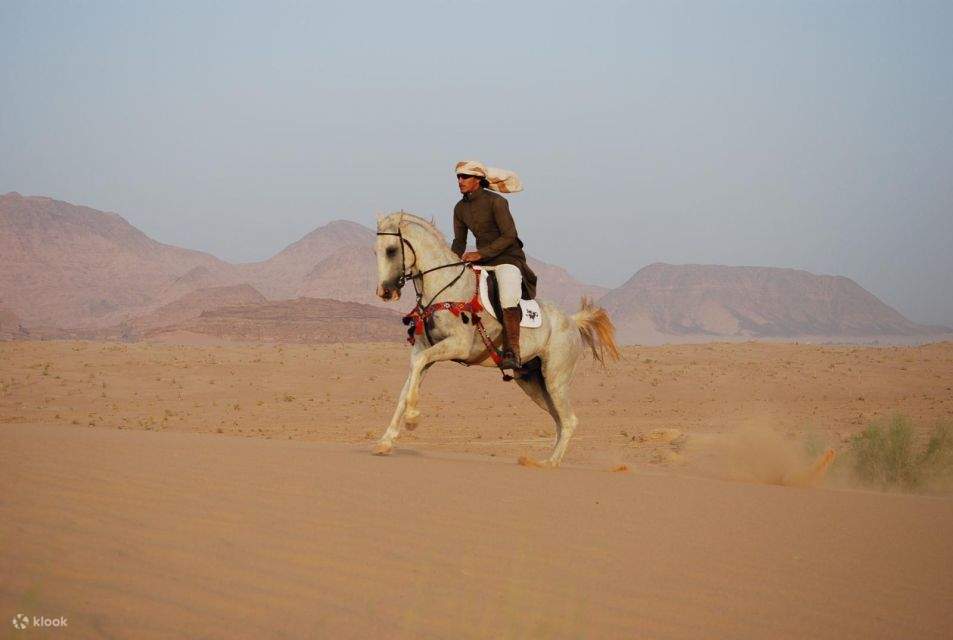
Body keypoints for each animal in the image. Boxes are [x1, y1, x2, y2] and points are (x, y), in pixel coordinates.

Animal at [373, 211, 620, 467]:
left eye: (391, 250)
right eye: (375, 251)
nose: (385, 292)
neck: (446, 287)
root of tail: (572, 321)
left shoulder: (457, 346)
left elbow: (418, 367)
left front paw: (412, 419)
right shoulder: (423, 348)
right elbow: (408, 383)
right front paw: (386, 441)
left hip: (555, 380)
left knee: (569, 420)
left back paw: (550, 463)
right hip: (532, 382)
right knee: (559, 419)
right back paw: (545, 459)